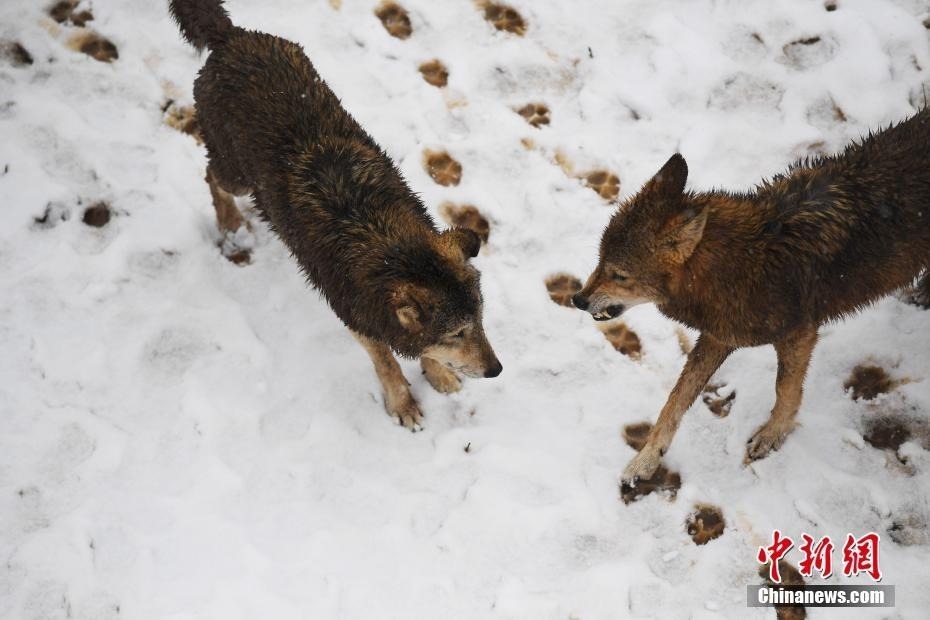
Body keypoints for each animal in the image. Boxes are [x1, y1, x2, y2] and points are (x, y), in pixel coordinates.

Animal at [167, 0, 500, 432]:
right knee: (210, 176)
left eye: (480, 320)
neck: (387, 242)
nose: (496, 370)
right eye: (458, 333)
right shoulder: (355, 317)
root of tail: (230, 36)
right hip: (237, 176)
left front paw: (439, 374)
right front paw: (403, 404)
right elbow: (387, 362)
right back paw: (230, 227)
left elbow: (421, 350)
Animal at [572, 111, 928, 490]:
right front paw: (645, 461)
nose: (578, 299)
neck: (743, 264)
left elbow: (785, 390)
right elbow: (674, 402)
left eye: (619, 275)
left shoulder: (799, 335)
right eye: (600, 261)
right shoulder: (718, 337)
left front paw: (772, 435)